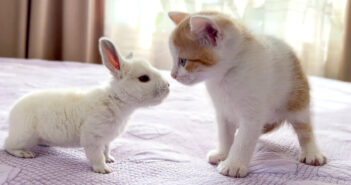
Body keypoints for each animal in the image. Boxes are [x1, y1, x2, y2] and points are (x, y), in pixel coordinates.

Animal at [4, 37, 170, 173]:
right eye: (144, 78)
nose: (168, 86)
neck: (116, 100)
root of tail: (13, 112)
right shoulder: (93, 138)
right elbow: (96, 156)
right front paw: (104, 169)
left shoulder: (106, 140)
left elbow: (106, 151)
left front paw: (110, 159)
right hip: (25, 136)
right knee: (7, 145)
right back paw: (25, 153)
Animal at [168, 11, 328, 178]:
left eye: (183, 61)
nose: (172, 75)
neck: (225, 75)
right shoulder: (223, 112)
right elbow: (225, 135)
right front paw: (222, 154)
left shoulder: (252, 115)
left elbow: (243, 140)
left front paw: (233, 164)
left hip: (297, 99)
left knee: (305, 128)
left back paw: (312, 153)